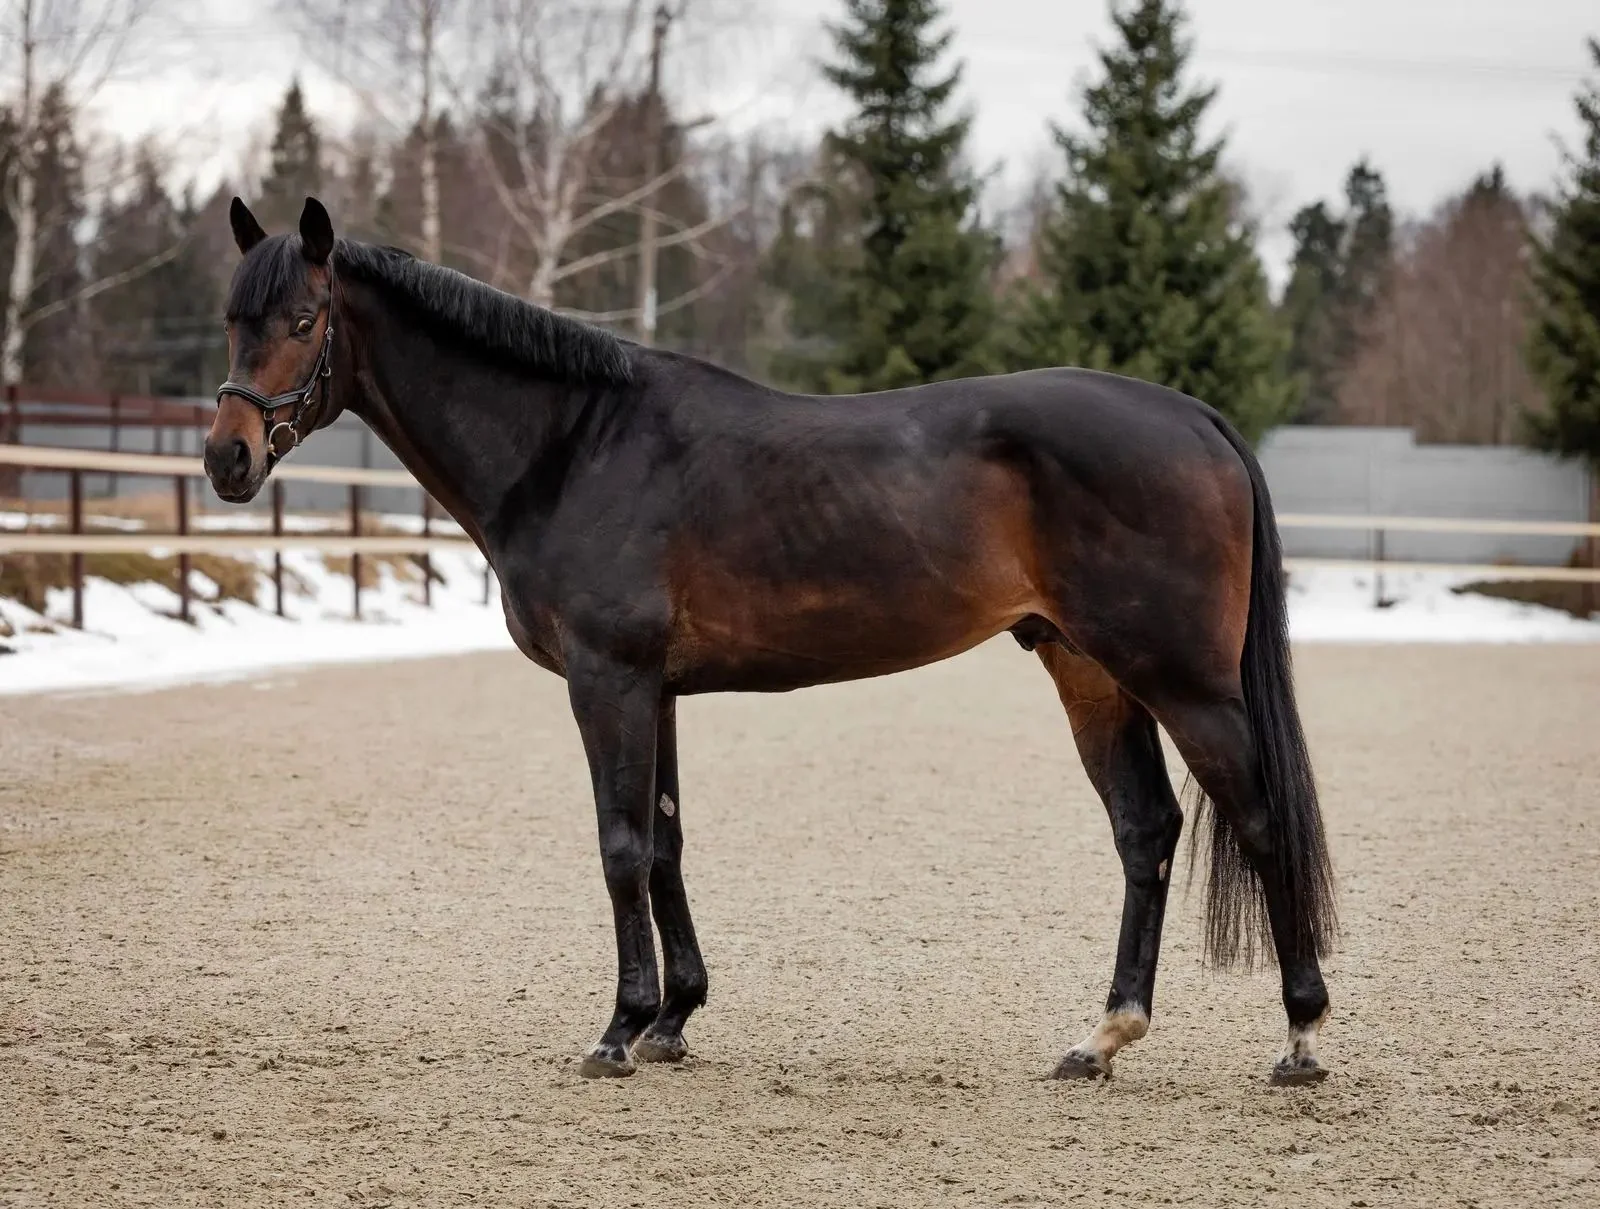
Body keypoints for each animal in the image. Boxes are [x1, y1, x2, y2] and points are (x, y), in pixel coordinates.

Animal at [205, 197, 1337, 1086]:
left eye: (303, 318)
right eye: (230, 319)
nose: (227, 458)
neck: (579, 443)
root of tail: (1193, 417)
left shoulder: (607, 680)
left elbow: (620, 846)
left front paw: (618, 1030)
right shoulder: (655, 688)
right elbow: (664, 842)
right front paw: (672, 1019)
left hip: (1184, 683)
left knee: (1260, 820)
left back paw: (1299, 1036)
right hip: (1090, 670)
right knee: (1145, 832)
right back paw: (1100, 1040)